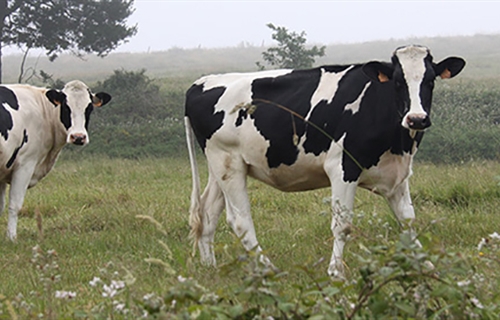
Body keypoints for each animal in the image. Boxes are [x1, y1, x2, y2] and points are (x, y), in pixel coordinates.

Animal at [0, 80, 111, 240]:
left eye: (89, 107)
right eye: (66, 106)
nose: (78, 137)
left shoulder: (4, 170)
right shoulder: (25, 165)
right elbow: (15, 205)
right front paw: (11, 238)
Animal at [184, 45, 464, 278]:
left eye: (430, 80)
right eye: (397, 81)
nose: (416, 118)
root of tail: (200, 82)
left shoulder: (397, 173)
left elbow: (407, 220)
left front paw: (425, 263)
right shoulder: (342, 168)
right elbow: (343, 225)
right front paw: (336, 272)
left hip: (221, 167)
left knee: (207, 212)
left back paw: (210, 266)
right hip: (227, 162)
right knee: (240, 220)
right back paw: (268, 268)